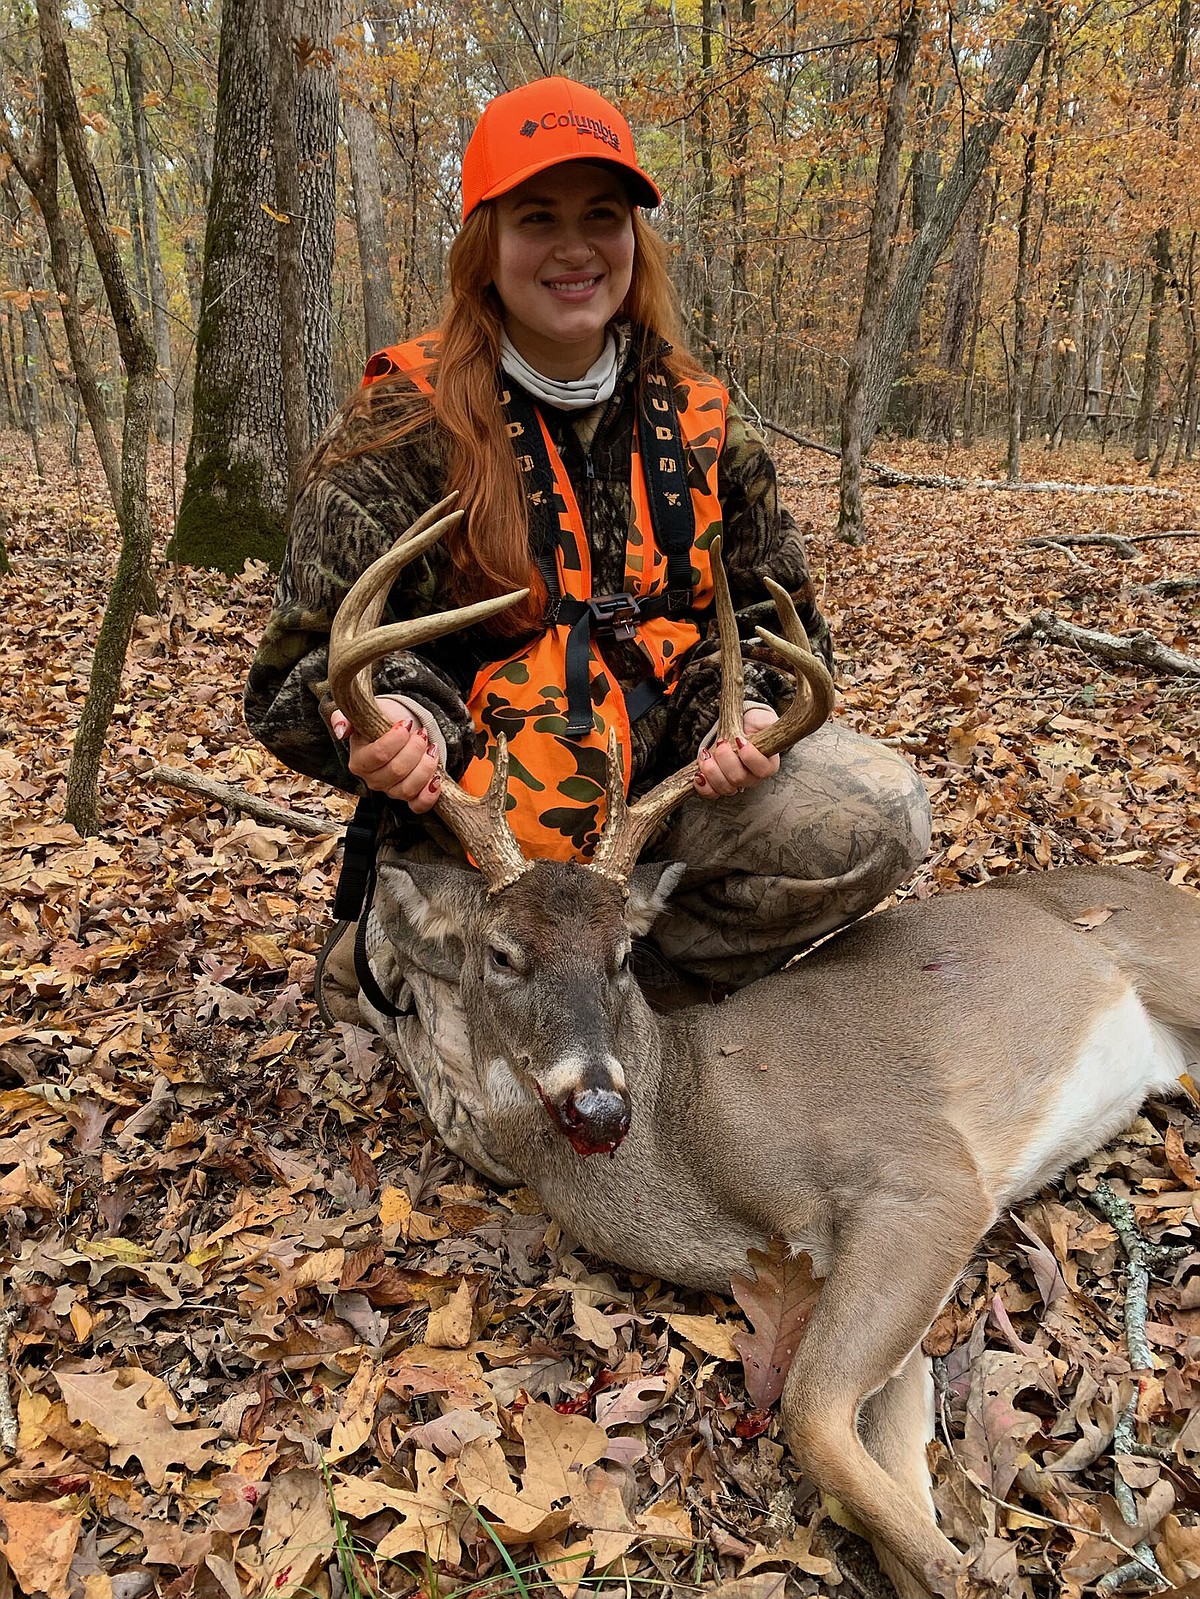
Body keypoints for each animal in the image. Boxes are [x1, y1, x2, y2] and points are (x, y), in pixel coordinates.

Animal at [328, 497, 1200, 1599]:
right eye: (501, 954)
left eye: (624, 955)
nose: (599, 1103)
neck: (696, 1143)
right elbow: (874, 1440)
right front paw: (947, 1553)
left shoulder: (926, 1173)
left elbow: (809, 1413)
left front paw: (972, 1567)